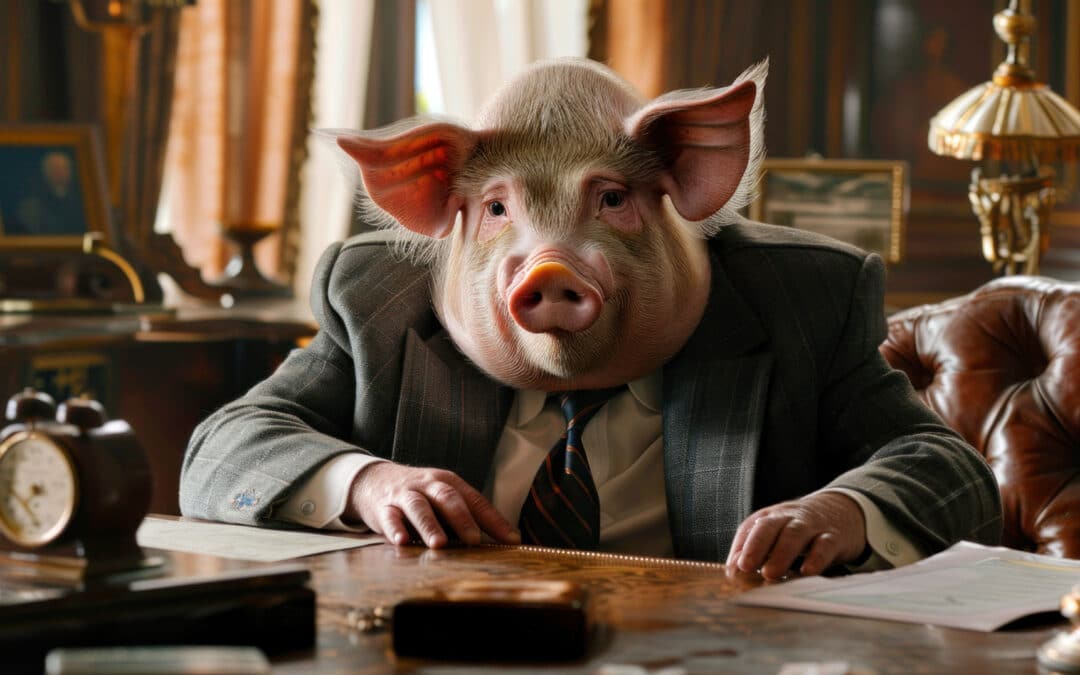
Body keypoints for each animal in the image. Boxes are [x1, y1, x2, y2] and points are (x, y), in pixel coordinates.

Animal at [180, 59, 1001, 577]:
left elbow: (930, 445)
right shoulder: (336, 334)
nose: (550, 269)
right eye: (497, 208)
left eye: (610, 197)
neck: (576, 390)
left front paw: (779, 535)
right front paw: (432, 501)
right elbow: (243, 418)